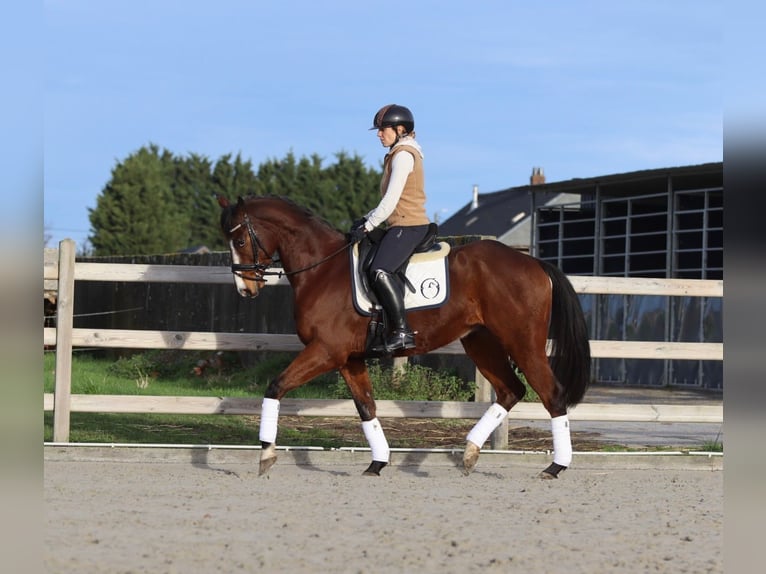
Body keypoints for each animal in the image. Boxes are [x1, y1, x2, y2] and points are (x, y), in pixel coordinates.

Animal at [217, 194, 591, 478]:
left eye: (240, 240)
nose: (245, 289)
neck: (323, 269)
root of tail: (535, 264)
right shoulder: (349, 359)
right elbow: (366, 407)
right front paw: (378, 462)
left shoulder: (326, 350)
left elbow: (276, 386)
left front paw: (266, 454)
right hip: (480, 341)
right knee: (511, 390)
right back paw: (469, 452)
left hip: (523, 343)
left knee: (552, 395)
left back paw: (555, 467)